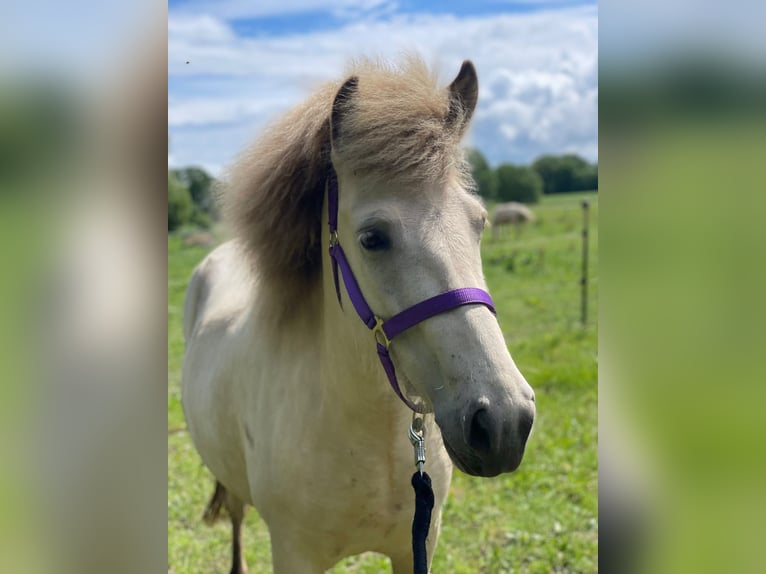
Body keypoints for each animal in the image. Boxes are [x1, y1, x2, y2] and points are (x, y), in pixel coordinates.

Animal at [181, 56, 536, 574]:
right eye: (372, 238)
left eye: (480, 222)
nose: (504, 423)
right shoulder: (294, 555)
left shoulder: (417, 546)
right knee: (235, 517)